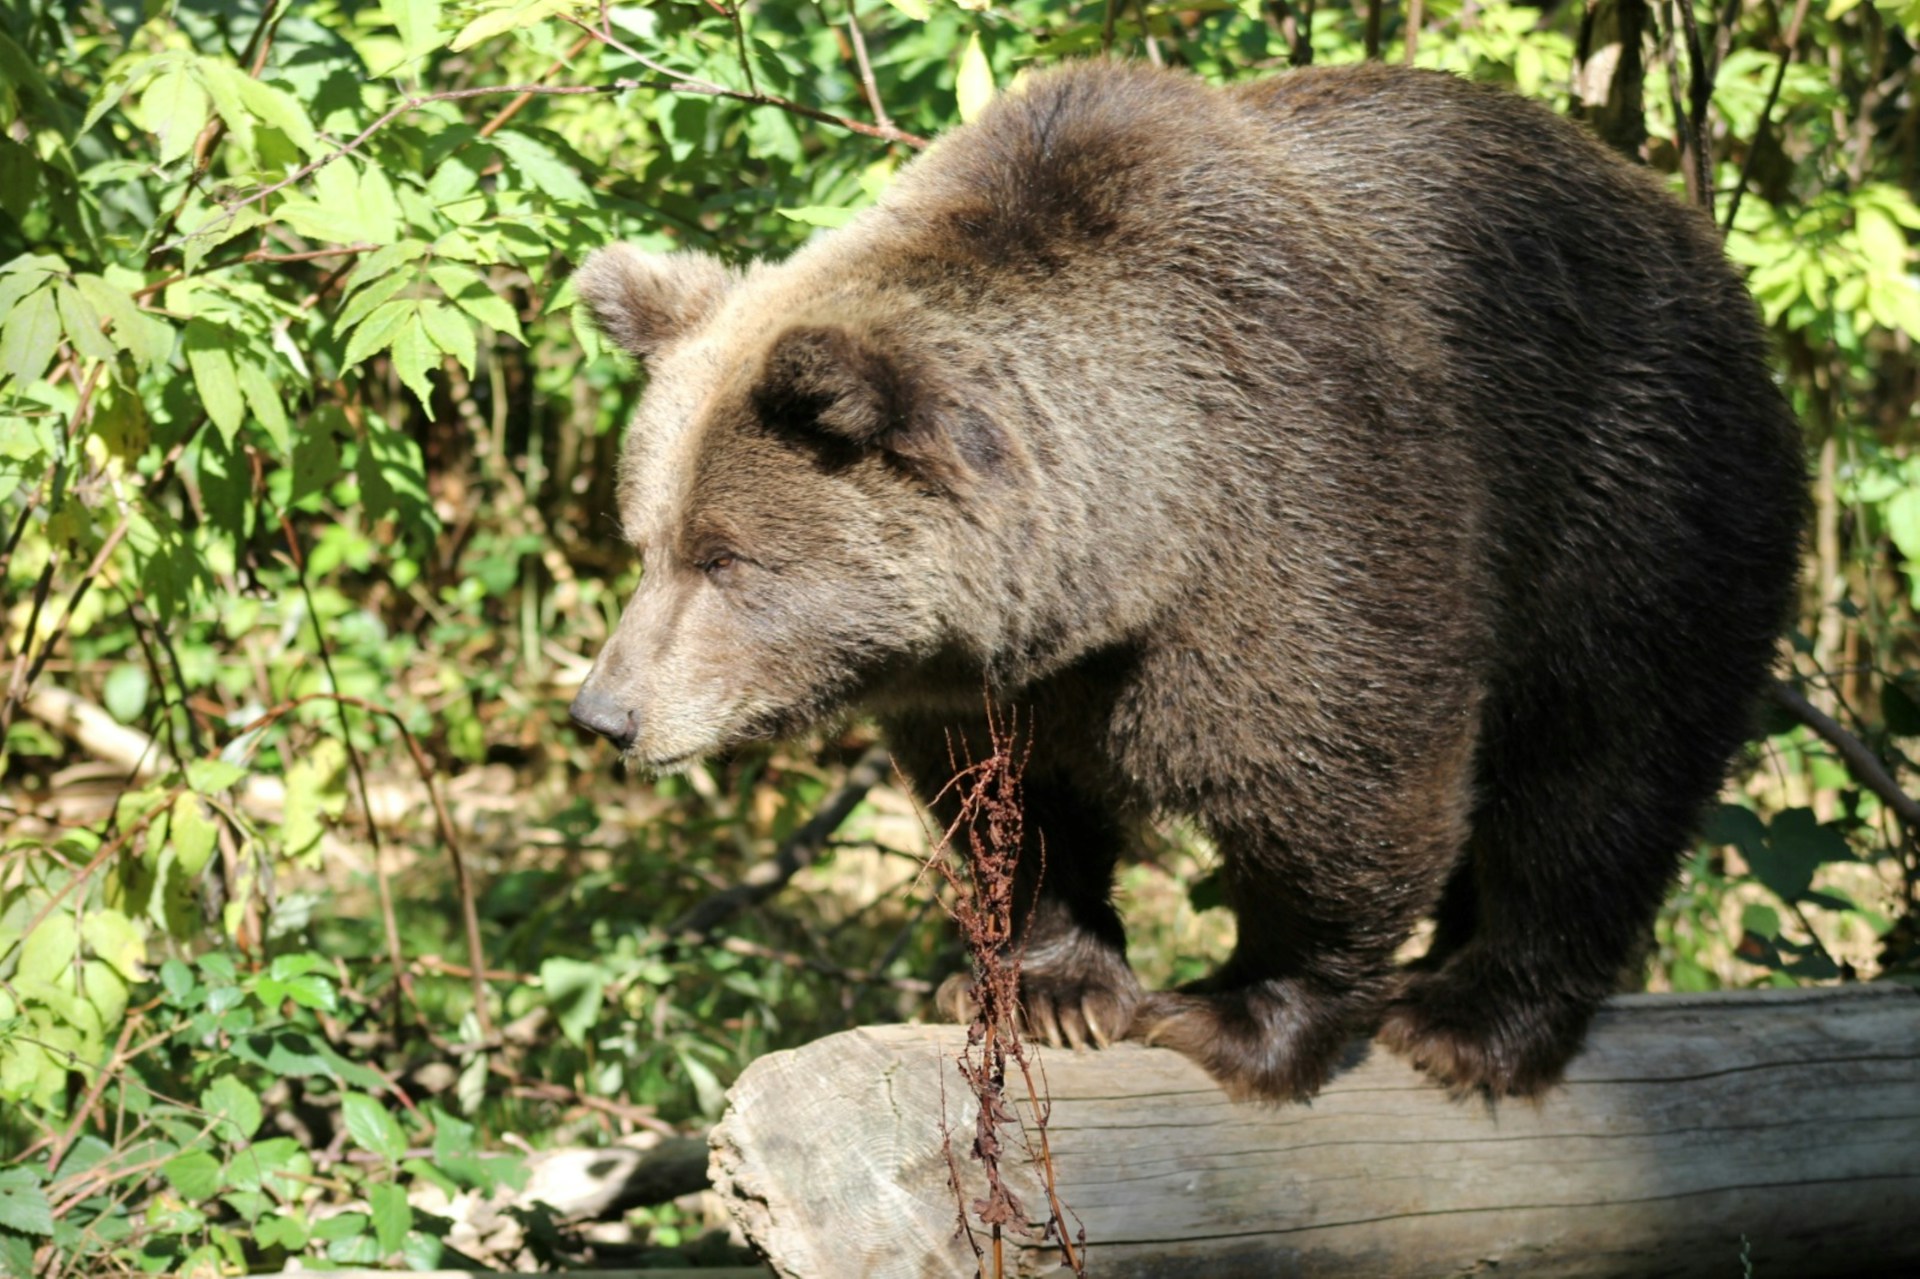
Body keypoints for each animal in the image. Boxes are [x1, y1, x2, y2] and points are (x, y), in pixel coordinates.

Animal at [560, 59, 1804, 1098]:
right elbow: (1013, 811)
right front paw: (1047, 985)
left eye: (727, 557)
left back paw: (1471, 1017)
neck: (1135, 549)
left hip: (1634, 505)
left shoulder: (1313, 511)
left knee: (1598, 773)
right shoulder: (995, 679)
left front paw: (1239, 1014)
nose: (607, 713)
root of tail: (1704, 247)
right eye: (646, 538)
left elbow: (1344, 788)